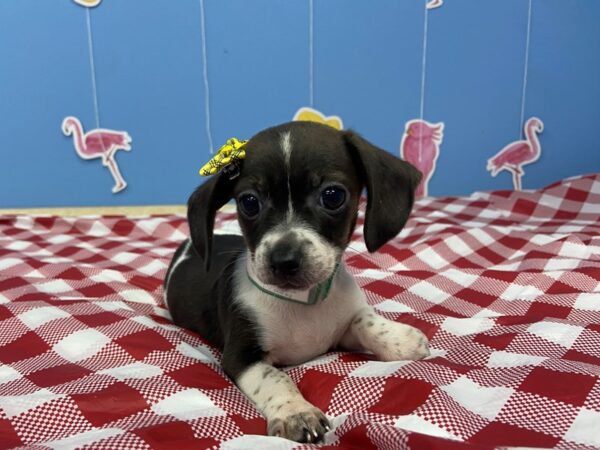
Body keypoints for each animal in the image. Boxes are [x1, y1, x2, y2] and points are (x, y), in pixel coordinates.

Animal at [162, 120, 428, 442]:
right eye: (249, 202)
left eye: (333, 195)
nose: (284, 260)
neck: (304, 302)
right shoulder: (241, 357)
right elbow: (274, 377)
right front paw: (296, 412)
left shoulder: (340, 330)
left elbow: (365, 321)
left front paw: (398, 338)